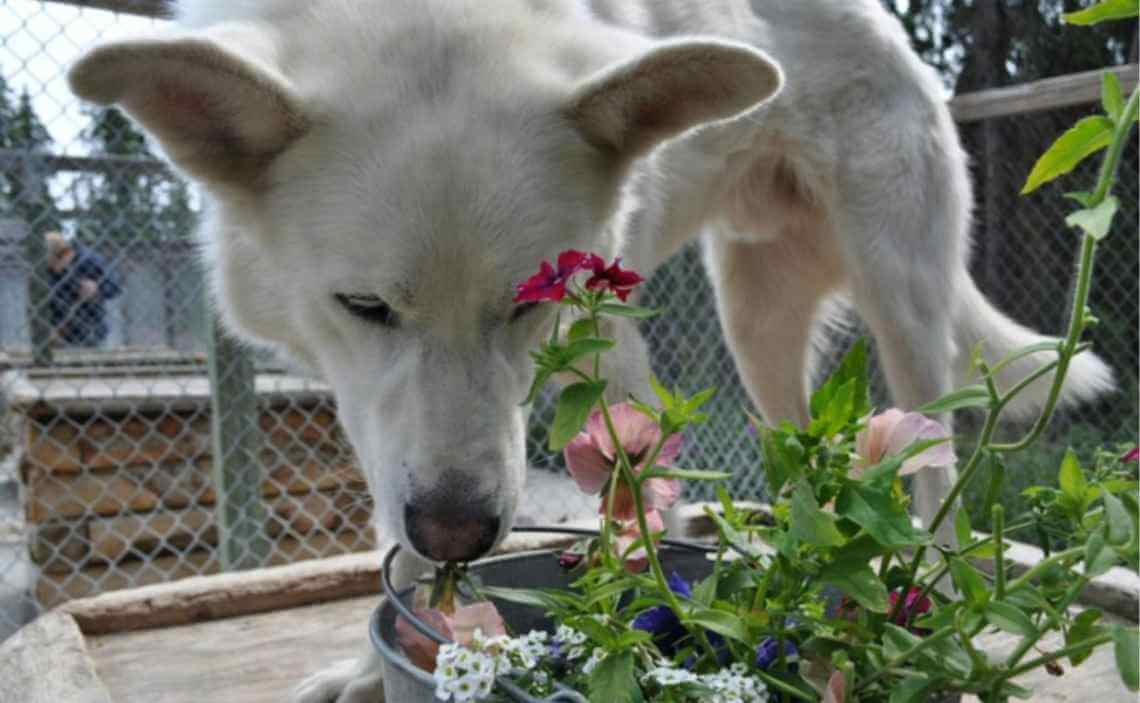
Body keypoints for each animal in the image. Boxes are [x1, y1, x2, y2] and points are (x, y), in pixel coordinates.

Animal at [68, 1, 1112, 697]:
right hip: (757, 324)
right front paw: (376, 653)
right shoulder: (365, 401)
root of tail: (892, 31)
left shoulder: (598, 341)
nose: (459, 533)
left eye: (526, 303)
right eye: (363, 305)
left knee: (935, 471)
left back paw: (916, 603)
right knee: (808, 454)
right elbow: (387, 533)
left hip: (904, 307)